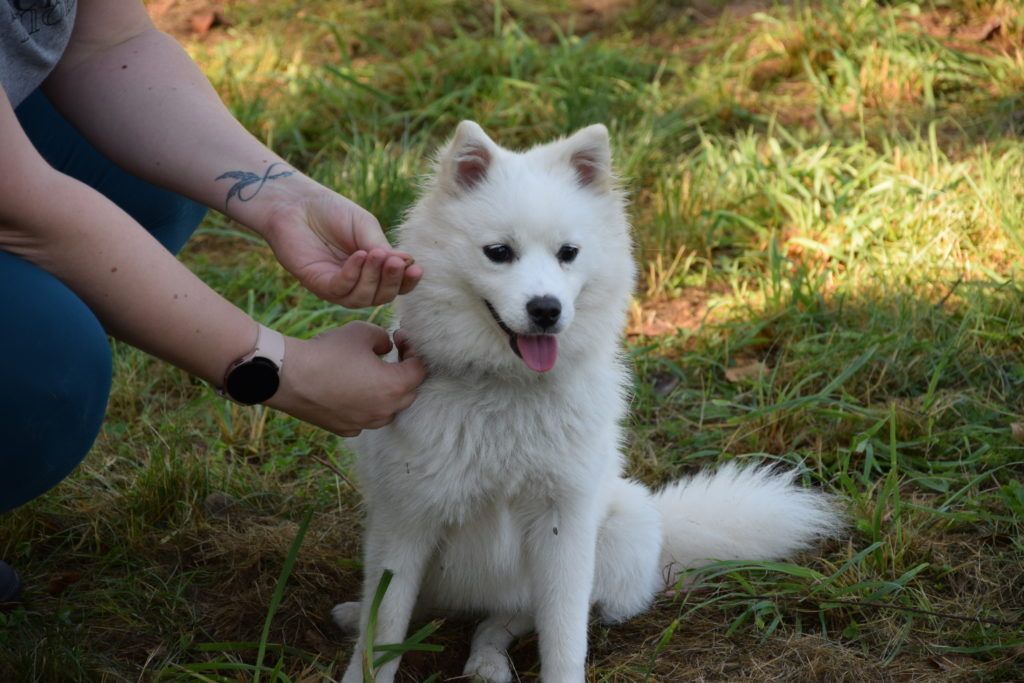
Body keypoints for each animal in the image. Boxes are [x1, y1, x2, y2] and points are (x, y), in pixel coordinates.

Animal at [331, 124, 835, 683]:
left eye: (568, 252)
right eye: (498, 252)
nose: (546, 310)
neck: (506, 391)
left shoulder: (563, 527)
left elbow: (564, 636)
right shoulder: (406, 522)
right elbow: (385, 629)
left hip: (617, 532)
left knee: (503, 623)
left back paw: (486, 662)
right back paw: (360, 615)